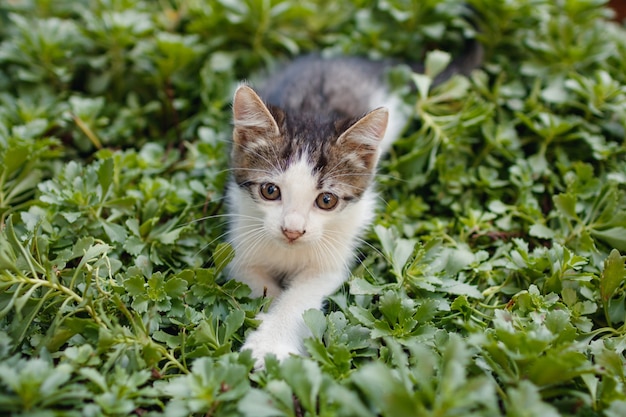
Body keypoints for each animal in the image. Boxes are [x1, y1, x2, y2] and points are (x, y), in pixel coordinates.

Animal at [227, 39, 480, 364]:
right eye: (270, 191)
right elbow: (251, 278)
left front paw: (269, 343)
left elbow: (301, 296)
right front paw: (264, 310)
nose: (292, 231)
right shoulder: (240, 241)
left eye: (326, 200)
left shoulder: (332, 258)